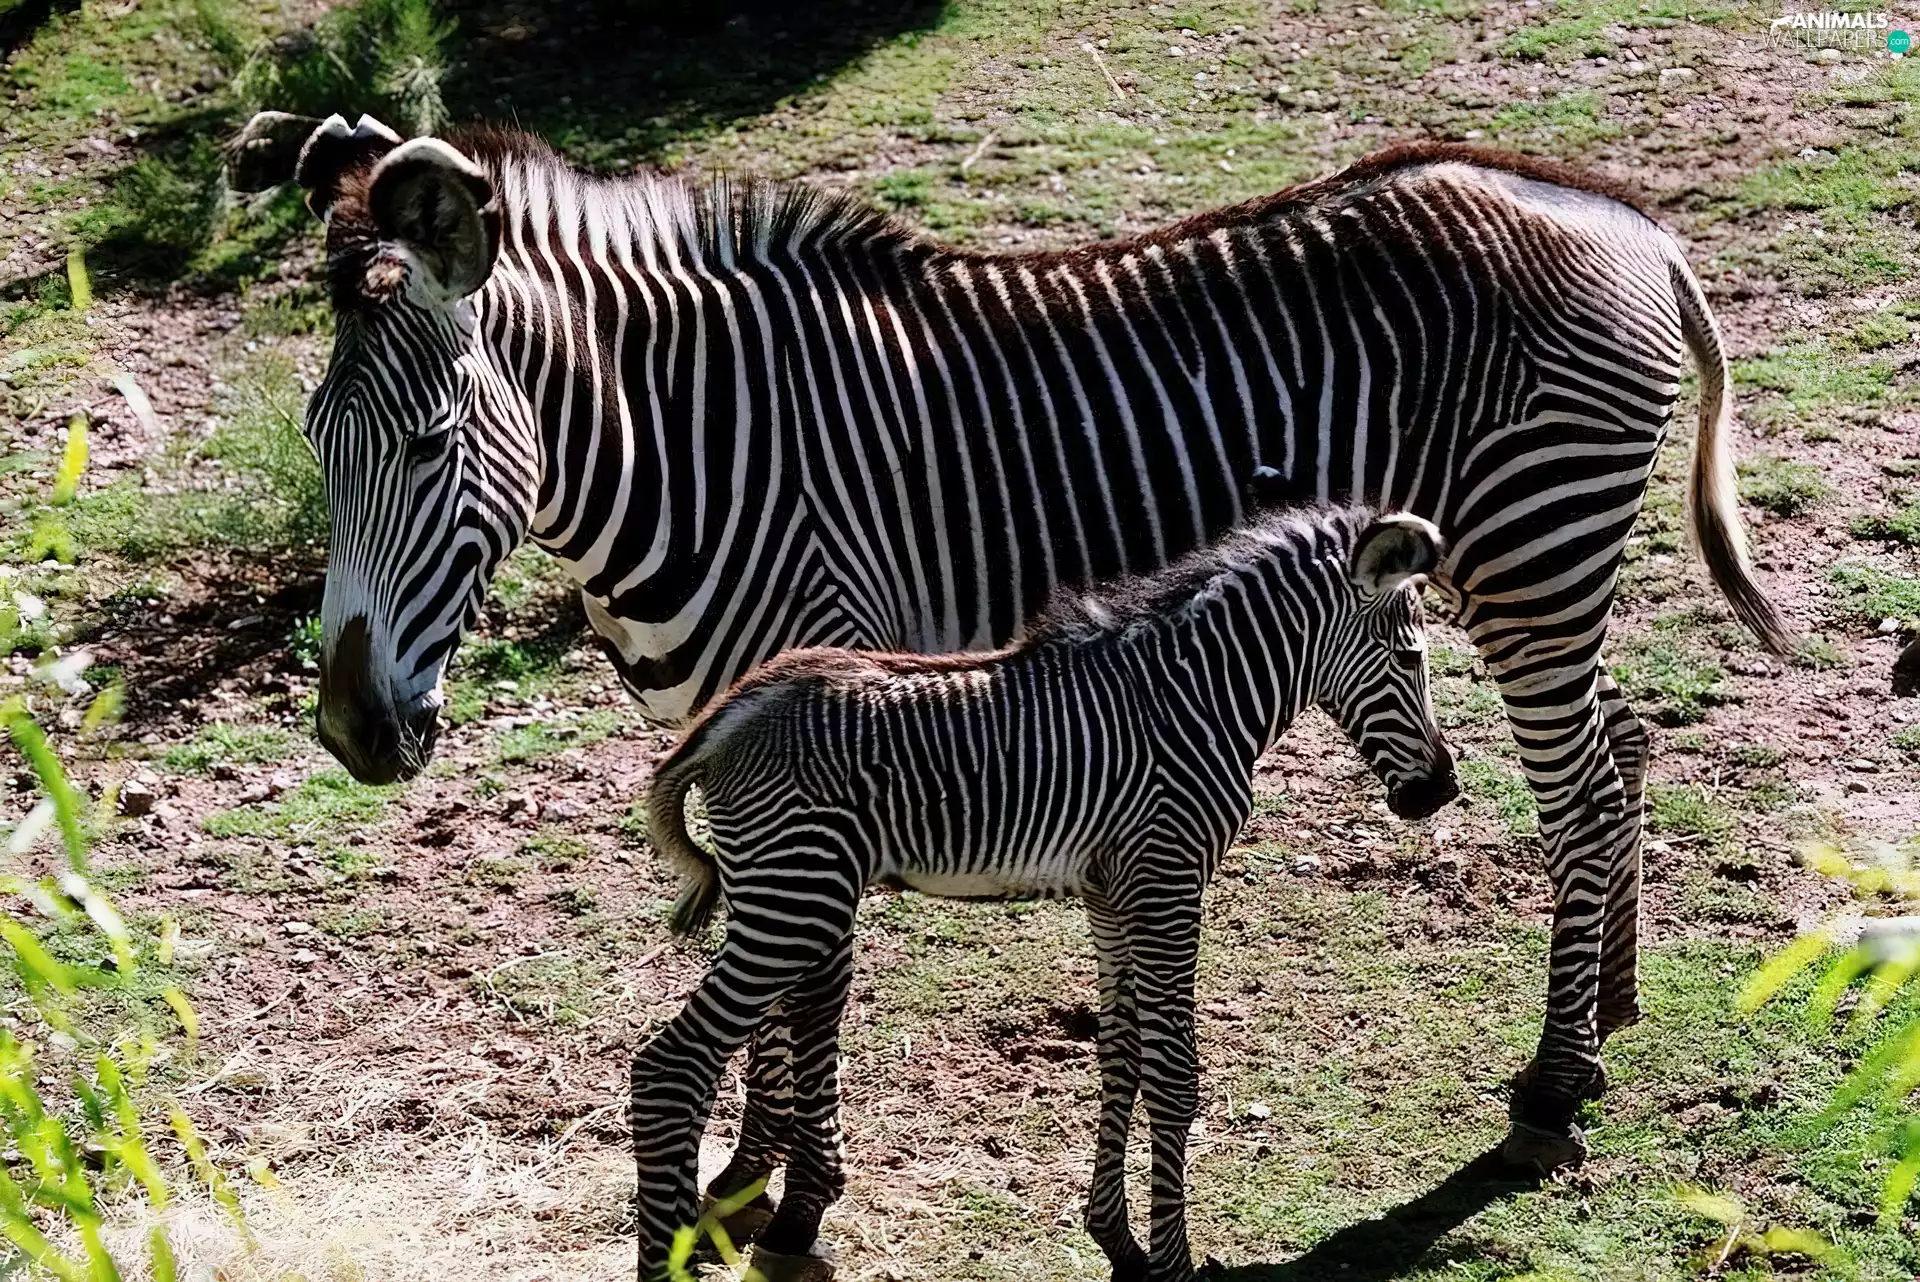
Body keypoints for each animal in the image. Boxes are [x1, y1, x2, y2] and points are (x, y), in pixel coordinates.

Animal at [227, 110, 1791, 1177]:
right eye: (314, 440)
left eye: (428, 446)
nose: (351, 732)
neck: (688, 449)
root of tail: (1622, 216)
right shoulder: (747, 737)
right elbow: (762, 957)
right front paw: (753, 1158)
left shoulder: (817, 695)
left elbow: (810, 970)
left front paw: (780, 1182)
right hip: (1536, 566)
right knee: (1624, 747)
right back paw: (1618, 1004)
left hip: (1533, 548)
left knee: (1578, 797)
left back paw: (1554, 1081)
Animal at [639, 504, 1456, 1282]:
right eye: (1411, 657)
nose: (1441, 791)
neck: (1196, 702)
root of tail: (724, 718)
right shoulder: (1169, 877)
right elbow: (1173, 1074)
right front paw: (1174, 1264)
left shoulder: (1114, 892)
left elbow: (1122, 1053)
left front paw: (1119, 1242)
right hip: (795, 897)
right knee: (669, 1066)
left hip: (787, 893)